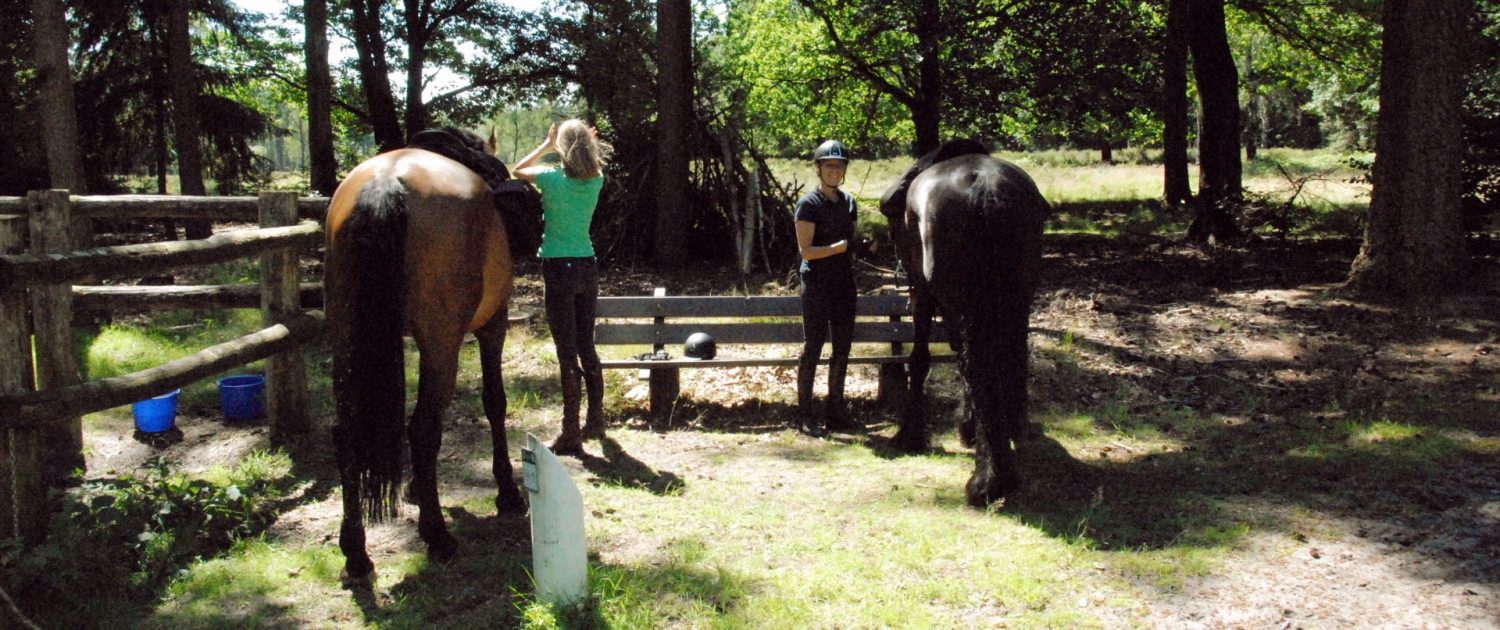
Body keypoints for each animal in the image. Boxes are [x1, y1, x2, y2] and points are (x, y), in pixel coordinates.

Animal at [325, 129, 537, 585]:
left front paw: (417, 490)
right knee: (423, 428)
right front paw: (507, 493)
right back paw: (437, 535)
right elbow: (494, 402)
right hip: (442, 343)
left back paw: (355, 552)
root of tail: (385, 184)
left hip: (346, 338)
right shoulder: (493, 324)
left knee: (346, 432)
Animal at [876, 138, 1050, 507]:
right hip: (1016, 295)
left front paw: (911, 434)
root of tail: (986, 189)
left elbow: (921, 358)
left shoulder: (923, 291)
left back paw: (988, 480)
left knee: (978, 365)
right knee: (1007, 359)